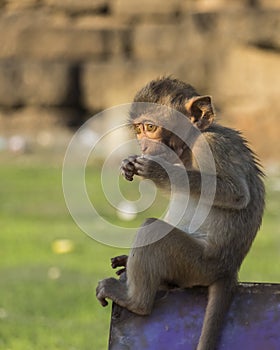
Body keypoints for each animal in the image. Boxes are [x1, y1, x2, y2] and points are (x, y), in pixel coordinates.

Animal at [96, 77, 264, 350]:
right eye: (139, 129)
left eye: (151, 127)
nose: (144, 146)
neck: (192, 144)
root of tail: (229, 269)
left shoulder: (213, 147)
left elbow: (236, 194)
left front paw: (159, 169)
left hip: (197, 265)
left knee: (154, 229)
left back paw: (136, 302)